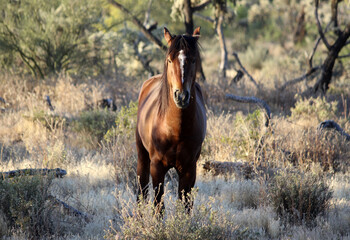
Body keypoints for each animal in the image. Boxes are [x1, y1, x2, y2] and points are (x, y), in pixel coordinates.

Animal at [136, 26, 208, 212]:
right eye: (169, 60)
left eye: (193, 60)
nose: (181, 96)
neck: (175, 129)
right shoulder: (157, 167)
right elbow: (158, 205)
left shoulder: (189, 168)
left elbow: (185, 205)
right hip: (142, 156)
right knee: (141, 189)